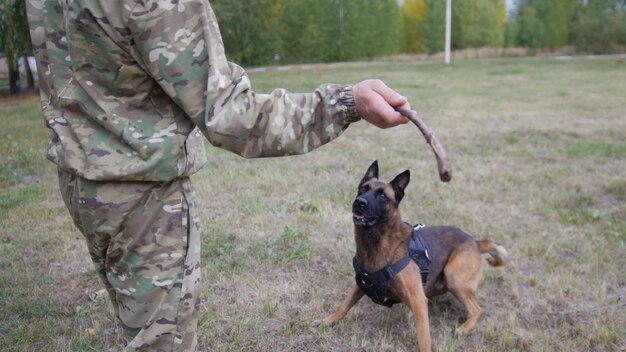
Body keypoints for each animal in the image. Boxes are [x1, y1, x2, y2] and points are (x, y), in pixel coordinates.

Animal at [322, 161, 508, 350]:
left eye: (382, 195)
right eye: (362, 188)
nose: (360, 202)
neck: (377, 242)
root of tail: (475, 242)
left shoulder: (418, 300)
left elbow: (424, 337)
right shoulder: (362, 283)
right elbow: (343, 305)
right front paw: (328, 321)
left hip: (454, 277)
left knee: (477, 309)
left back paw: (464, 328)